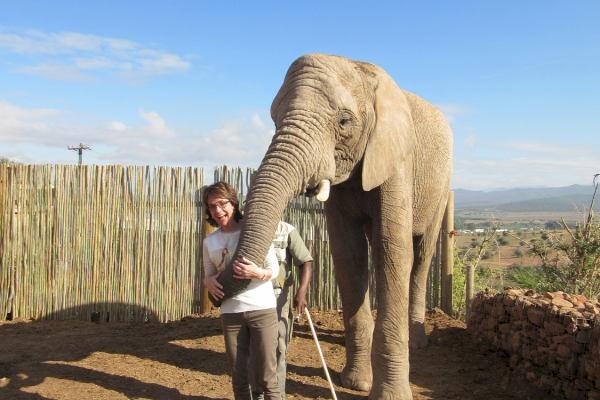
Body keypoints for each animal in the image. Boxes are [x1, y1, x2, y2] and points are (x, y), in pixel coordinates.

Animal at [209, 54, 452, 400]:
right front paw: (355, 383)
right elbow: (347, 254)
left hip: (442, 186)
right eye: (274, 121)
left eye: (344, 122)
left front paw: (388, 395)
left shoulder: (397, 161)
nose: (216, 291)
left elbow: (393, 250)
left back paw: (417, 343)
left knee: (420, 255)